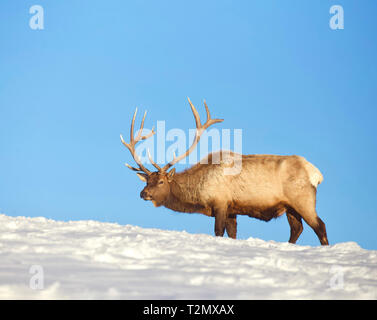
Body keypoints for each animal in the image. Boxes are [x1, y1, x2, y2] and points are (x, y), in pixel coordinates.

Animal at [119, 97, 328, 245]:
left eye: (161, 181)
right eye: (147, 181)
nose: (143, 193)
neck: (199, 197)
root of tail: (316, 174)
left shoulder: (220, 202)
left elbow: (218, 232)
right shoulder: (232, 210)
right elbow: (233, 234)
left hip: (303, 200)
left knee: (320, 227)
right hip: (290, 207)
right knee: (297, 229)